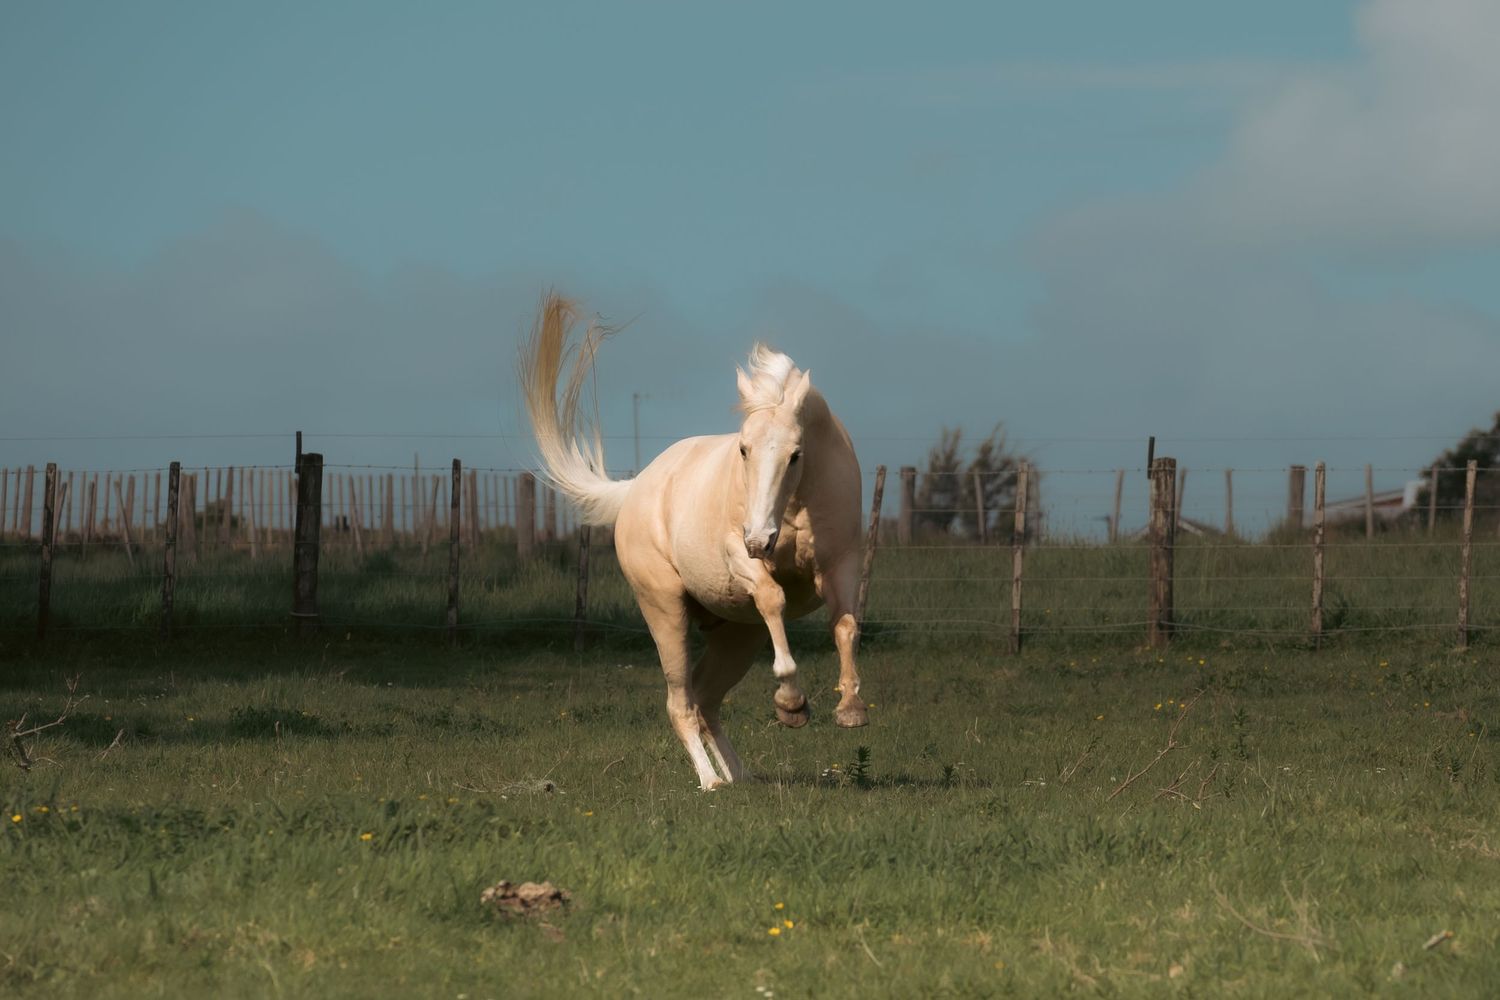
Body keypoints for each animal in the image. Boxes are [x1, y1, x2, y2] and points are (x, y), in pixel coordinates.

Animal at [519, 292, 869, 790]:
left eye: (796, 454)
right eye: (742, 449)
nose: (759, 539)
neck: (793, 508)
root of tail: (636, 488)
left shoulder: (842, 563)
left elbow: (845, 625)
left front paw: (850, 709)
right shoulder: (737, 556)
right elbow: (773, 597)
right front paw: (791, 704)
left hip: (737, 635)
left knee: (706, 701)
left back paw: (741, 777)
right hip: (666, 611)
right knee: (681, 704)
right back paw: (711, 781)